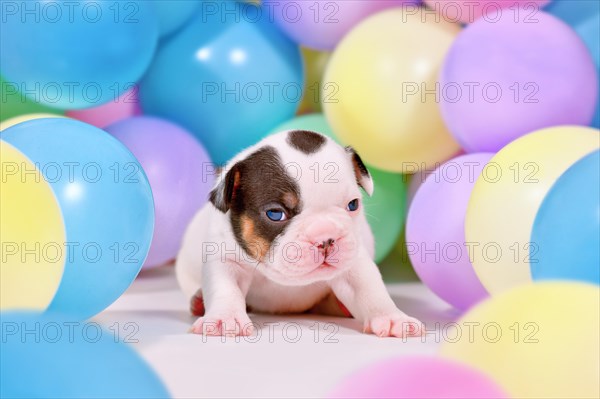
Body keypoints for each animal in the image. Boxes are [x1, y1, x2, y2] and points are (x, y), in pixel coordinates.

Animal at [176, 130, 424, 338]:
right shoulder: (226, 259)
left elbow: (370, 289)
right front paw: (224, 319)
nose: (326, 238)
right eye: (275, 214)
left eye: (353, 205)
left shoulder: (354, 263)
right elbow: (226, 287)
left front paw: (391, 318)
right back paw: (198, 302)